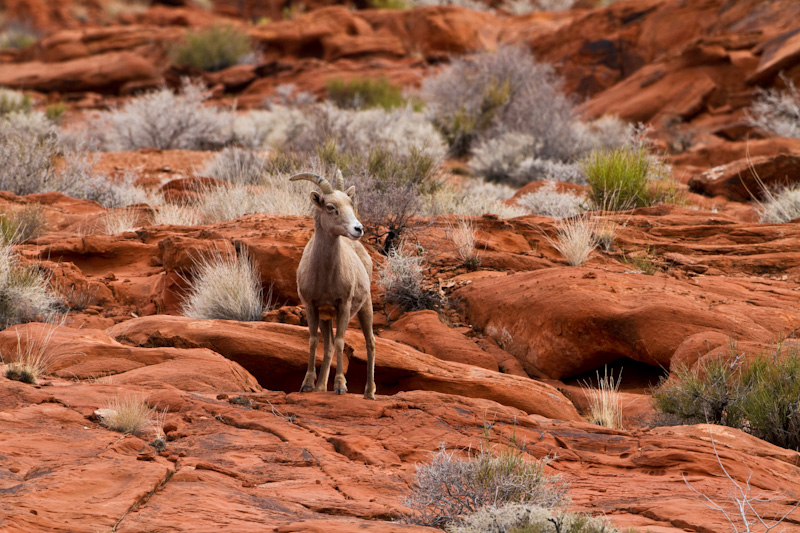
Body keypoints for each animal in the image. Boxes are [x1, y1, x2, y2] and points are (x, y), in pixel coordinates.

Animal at [290, 170, 376, 400]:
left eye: (350, 203)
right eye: (330, 207)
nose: (358, 229)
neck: (325, 277)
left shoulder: (343, 306)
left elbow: (340, 341)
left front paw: (340, 387)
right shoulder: (312, 306)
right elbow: (313, 341)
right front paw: (307, 385)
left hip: (366, 307)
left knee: (370, 342)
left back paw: (369, 393)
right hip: (326, 317)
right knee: (327, 346)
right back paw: (320, 387)